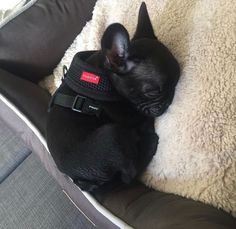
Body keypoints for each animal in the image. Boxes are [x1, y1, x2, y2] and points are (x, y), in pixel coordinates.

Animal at [46, 2, 180, 194]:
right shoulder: (126, 114)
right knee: (129, 175)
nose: (169, 100)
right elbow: (141, 116)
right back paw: (149, 141)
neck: (105, 76)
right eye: (153, 92)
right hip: (112, 135)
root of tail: (80, 181)